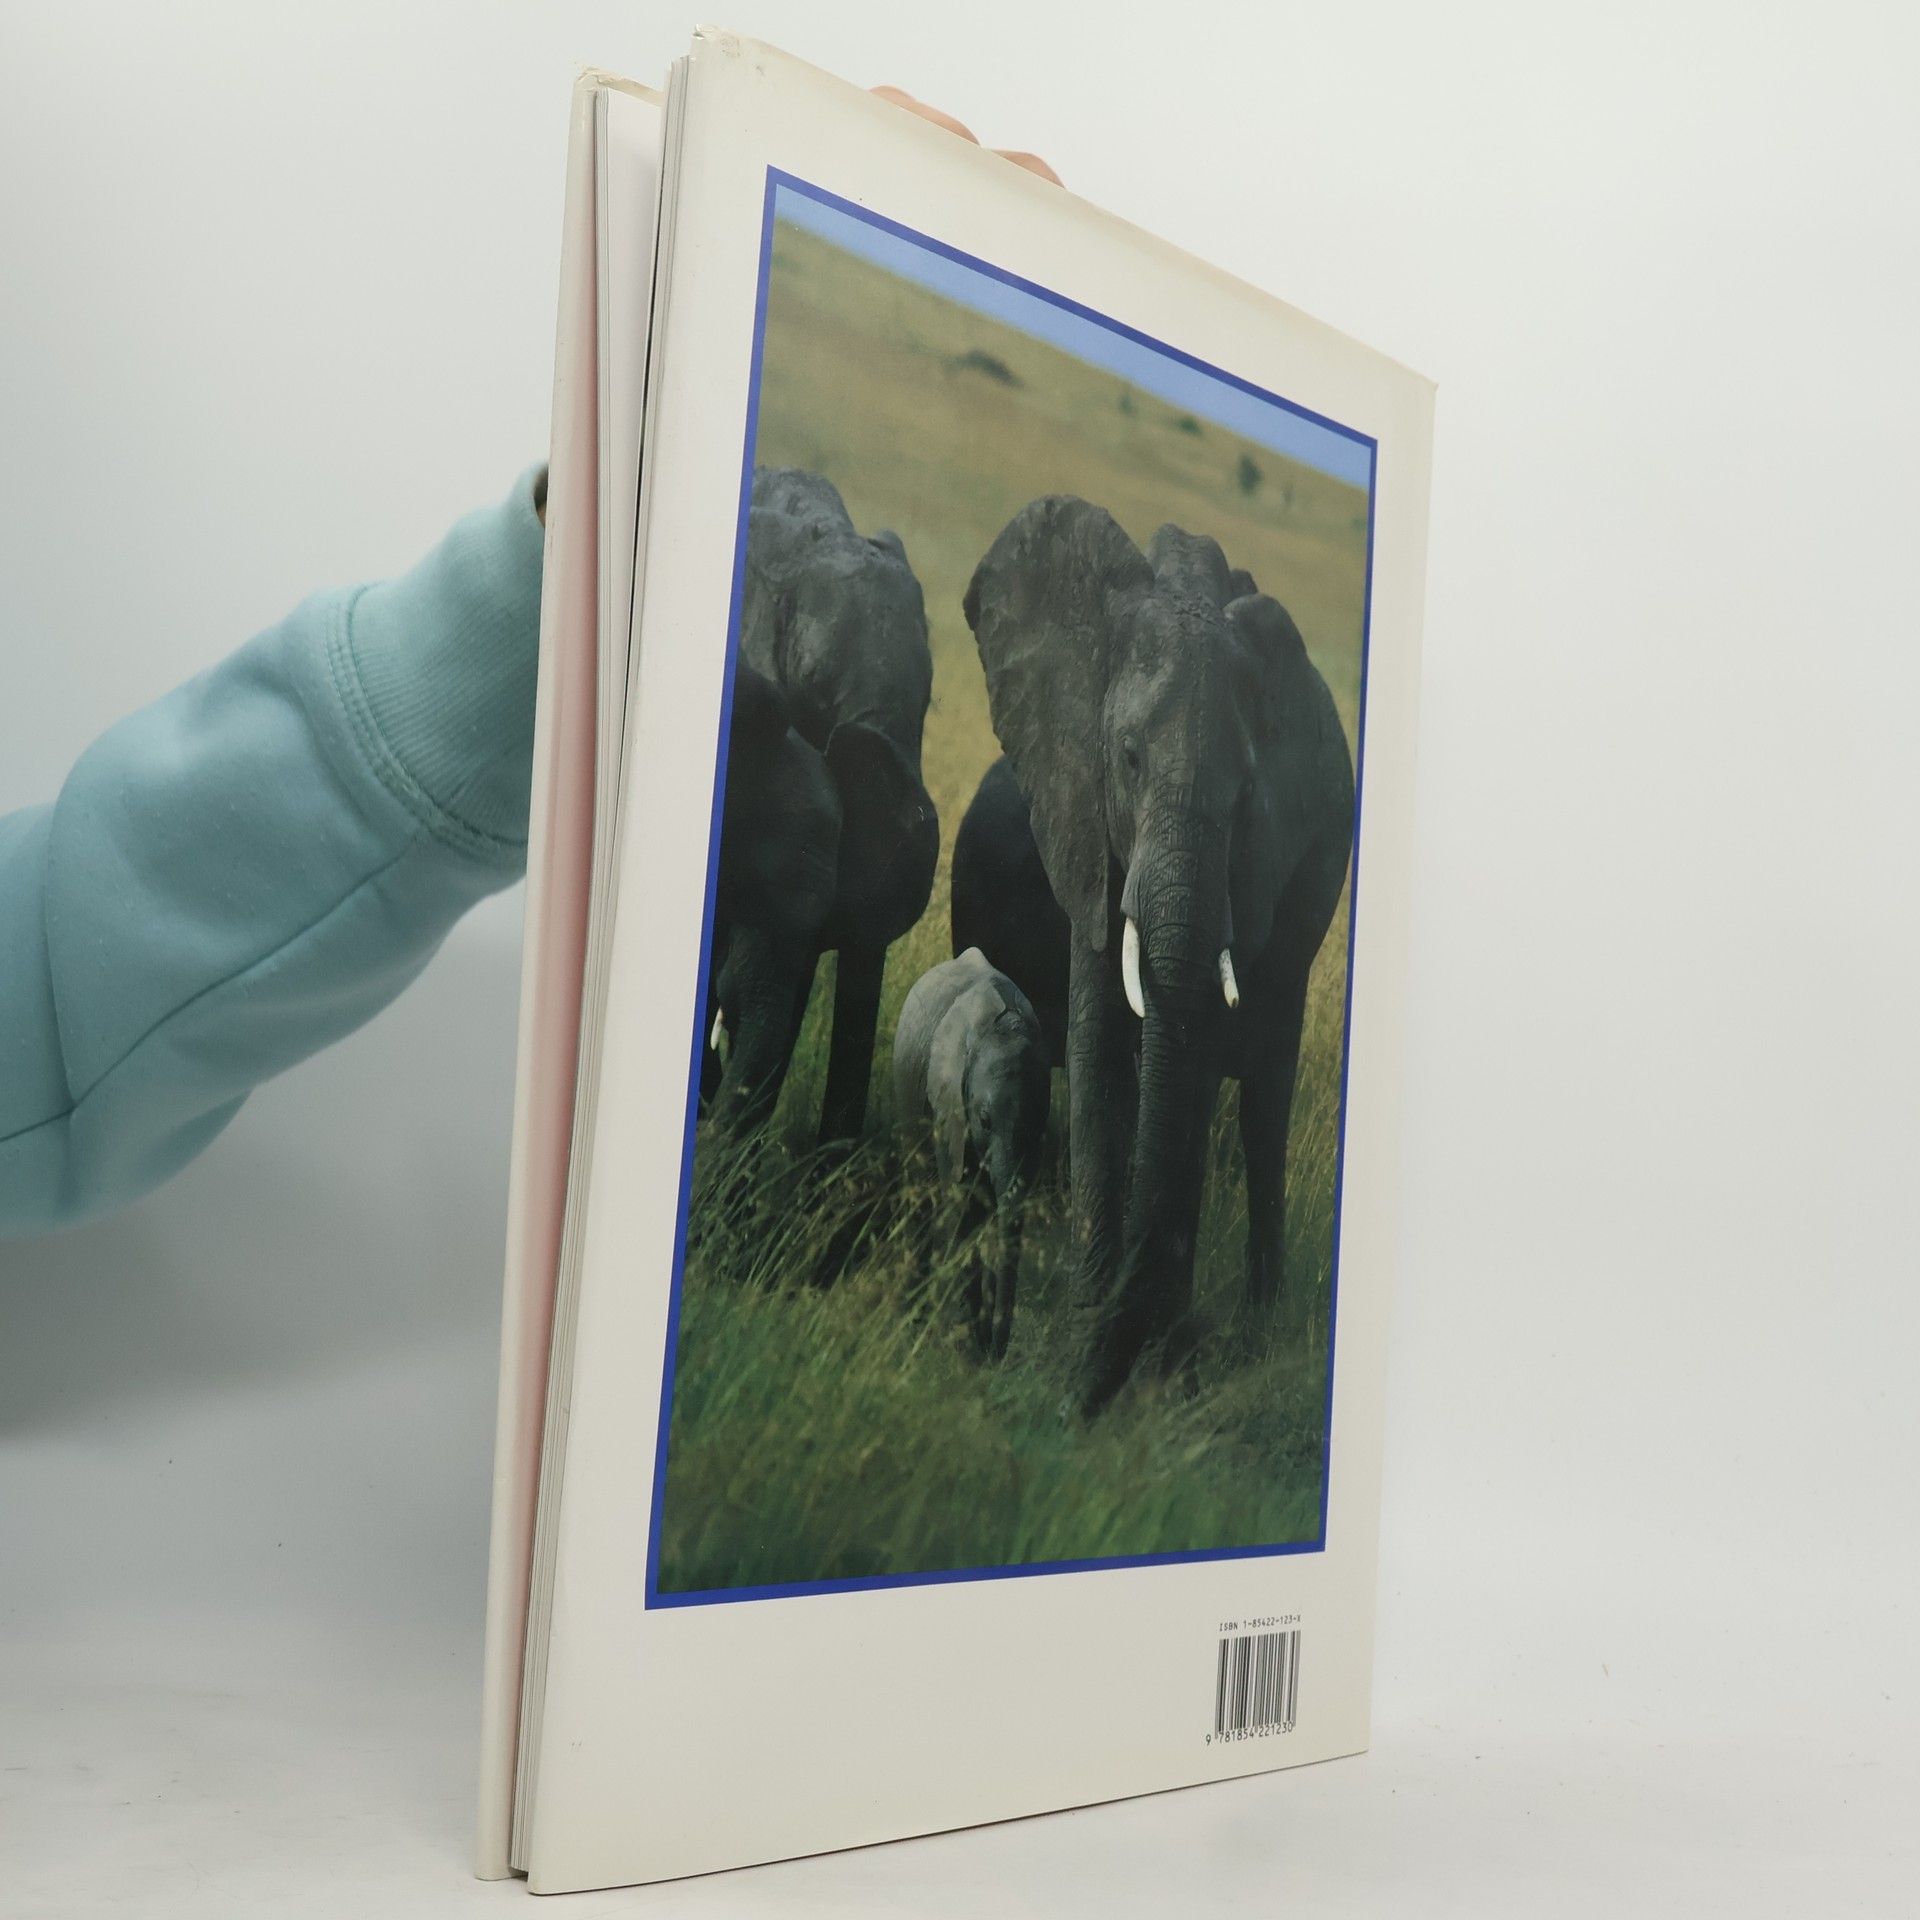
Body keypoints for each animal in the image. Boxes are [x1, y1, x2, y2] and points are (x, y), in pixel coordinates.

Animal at [892, 949, 1051, 1360]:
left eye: (1037, 1121)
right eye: (984, 1120)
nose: (998, 1354)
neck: (1000, 1029)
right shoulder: (949, 1105)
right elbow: (962, 1204)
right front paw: (972, 1350)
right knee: (922, 1195)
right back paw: (915, 1320)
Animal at [963, 496, 1355, 1414]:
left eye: (1247, 796)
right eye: (1130, 758)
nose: (1064, 1404)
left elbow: (1191, 1052)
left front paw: (1153, 1360)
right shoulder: (1078, 807)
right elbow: (1101, 1046)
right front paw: (1091, 1339)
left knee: (1263, 1101)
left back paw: (1258, 1325)